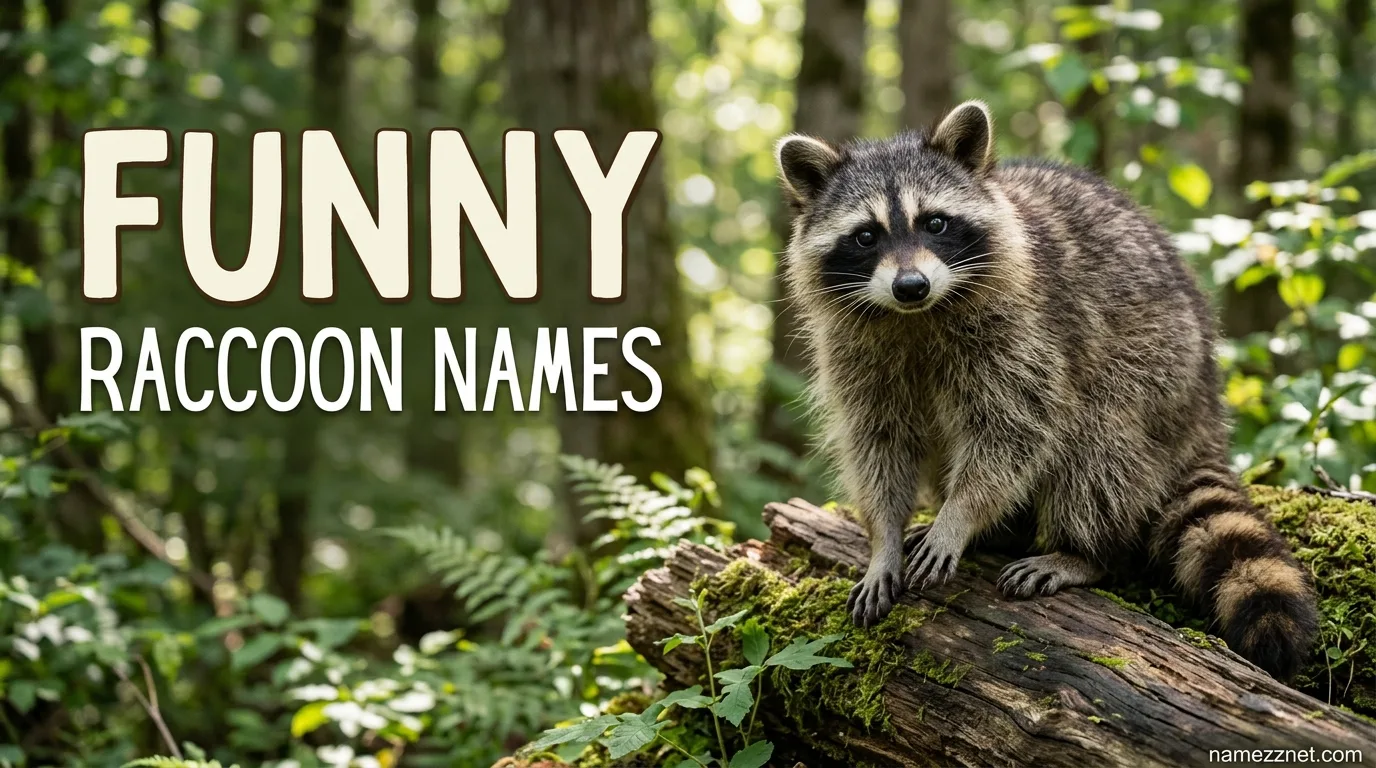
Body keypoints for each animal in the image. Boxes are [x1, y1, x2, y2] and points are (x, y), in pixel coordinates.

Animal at [774, 100, 1318, 680]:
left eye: (935, 223)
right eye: (866, 236)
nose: (911, 286)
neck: (917, 316)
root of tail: (1207, 408)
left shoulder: (1030, 329)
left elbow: (1014, 431)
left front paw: (961, 515)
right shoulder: (855, 354)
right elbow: (877, 443)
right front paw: (885, 540)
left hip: (1157, 372)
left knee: (1098, 447)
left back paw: (1084, 553)